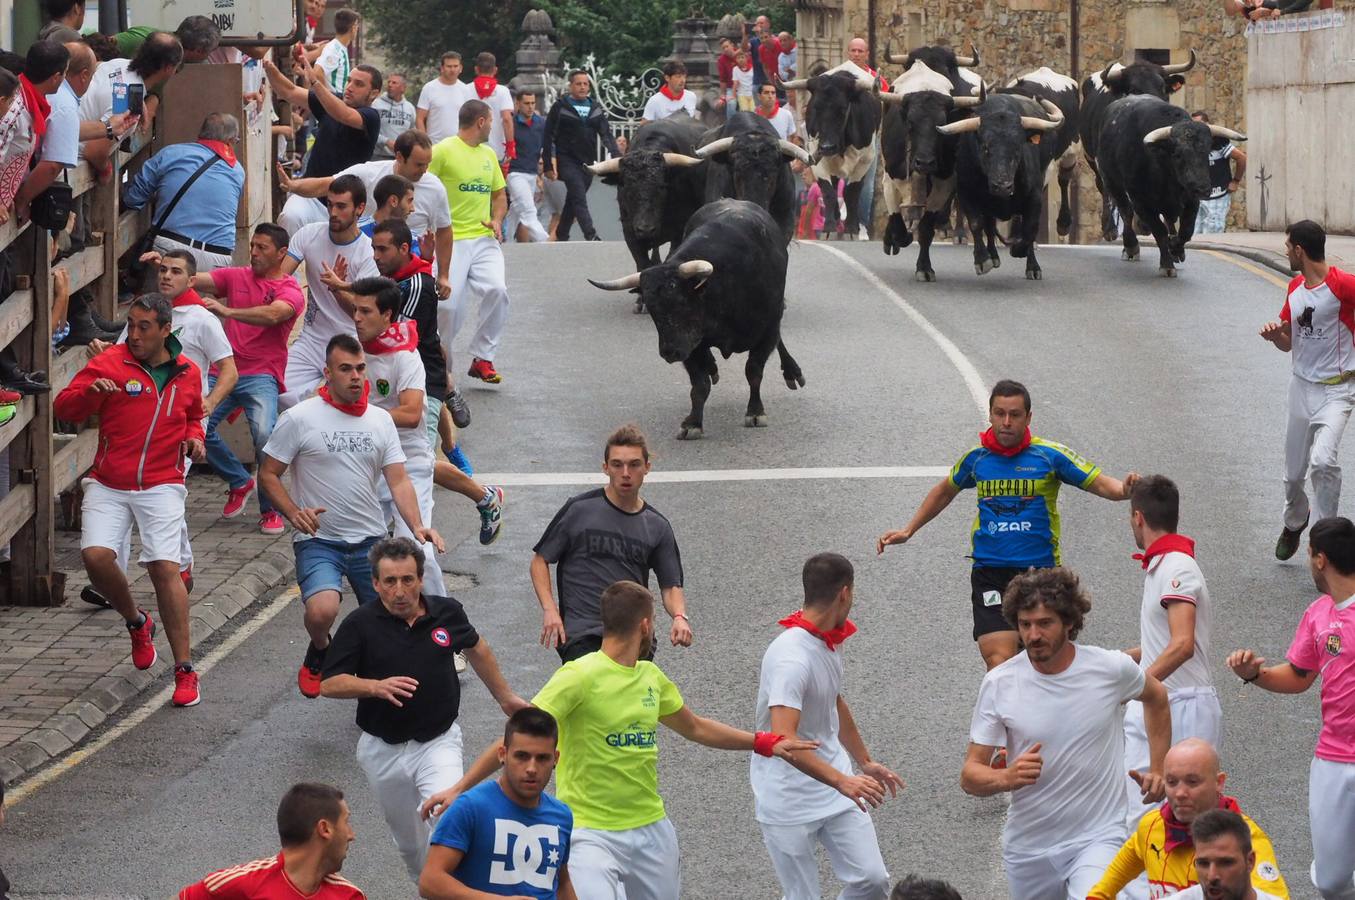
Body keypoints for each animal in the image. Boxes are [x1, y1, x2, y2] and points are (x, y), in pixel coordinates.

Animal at [585, 203, 802, 441]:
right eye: (651, 308)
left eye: (681, 300)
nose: (669, 352)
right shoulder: (689, 345)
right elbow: (699, 385)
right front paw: (692, 424)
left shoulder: (767, 332)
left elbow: (753, 372)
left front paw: (755, 413)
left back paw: (792, 372)